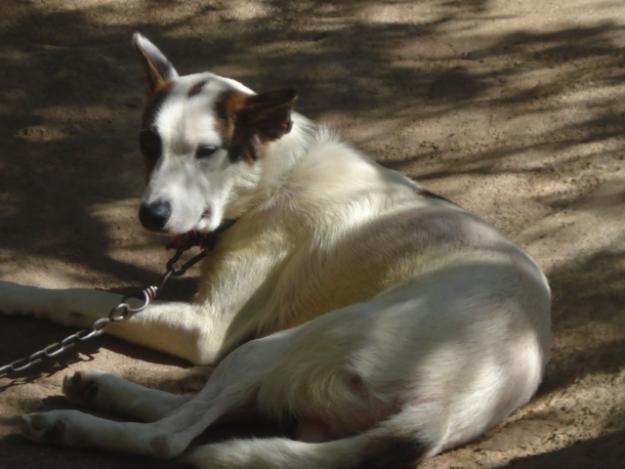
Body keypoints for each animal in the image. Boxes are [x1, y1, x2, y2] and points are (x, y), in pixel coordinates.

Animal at [2, 33, 552, 468]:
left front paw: (11, 291)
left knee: (173, 437)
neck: (272, 177)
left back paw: (73, 425)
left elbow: (86, 298)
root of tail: (443, 411)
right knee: (216, 409)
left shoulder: (207, 331)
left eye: (207, 152)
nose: (150, 216)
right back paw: (103, 391)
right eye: (147, 142)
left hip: (271, 347)